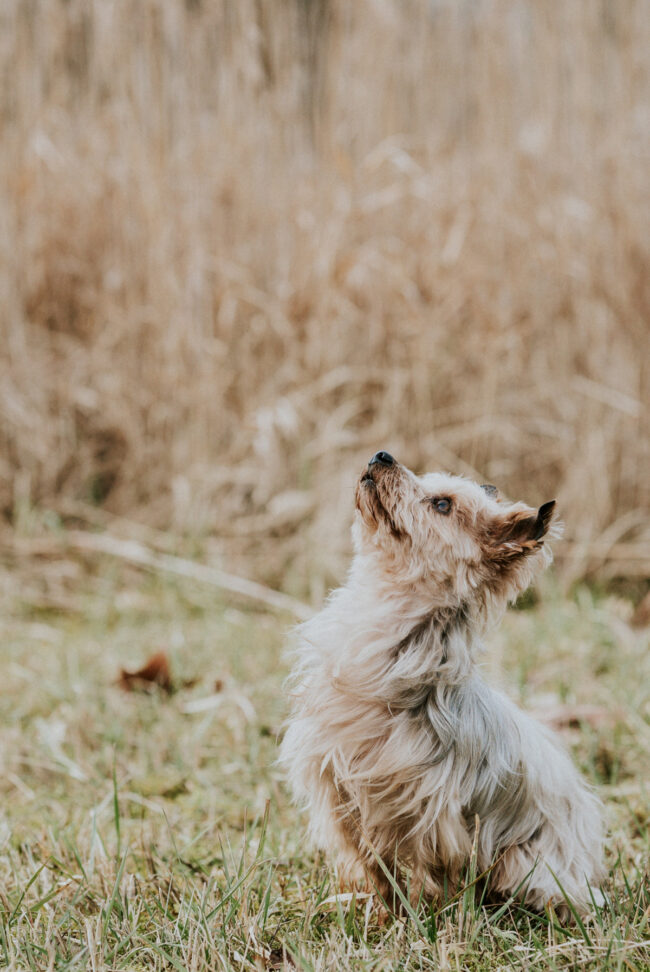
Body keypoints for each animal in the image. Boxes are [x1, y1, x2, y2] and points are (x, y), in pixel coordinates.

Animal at [278, 452, 604, 916]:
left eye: (442, 505)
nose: (382, 454)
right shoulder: (338, 789)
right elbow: (370, 860)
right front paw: (379, 907)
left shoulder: (431, 814)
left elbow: (429, 870)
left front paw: (419, 915)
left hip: (528, 864)